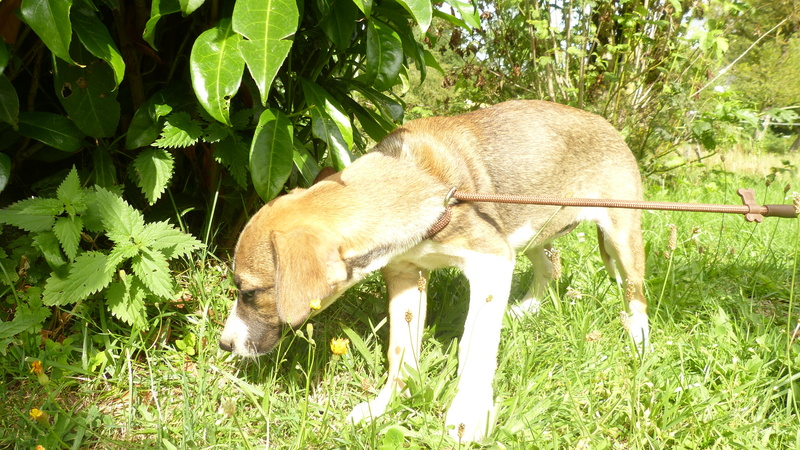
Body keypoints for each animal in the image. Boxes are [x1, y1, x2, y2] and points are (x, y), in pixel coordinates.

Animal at [220, 99, 648, 442]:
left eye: (249, 292)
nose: (224, 345)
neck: (422, 185)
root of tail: (606, 124)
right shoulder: (406, 275)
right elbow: (400, 351)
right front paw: (385, 406)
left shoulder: (490, 260)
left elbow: (477, 346)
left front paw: (468, 415)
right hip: (529, 233)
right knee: (551, 265)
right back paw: (526, 309)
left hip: (622, 232)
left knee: (635, 290)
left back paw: (639, 338)